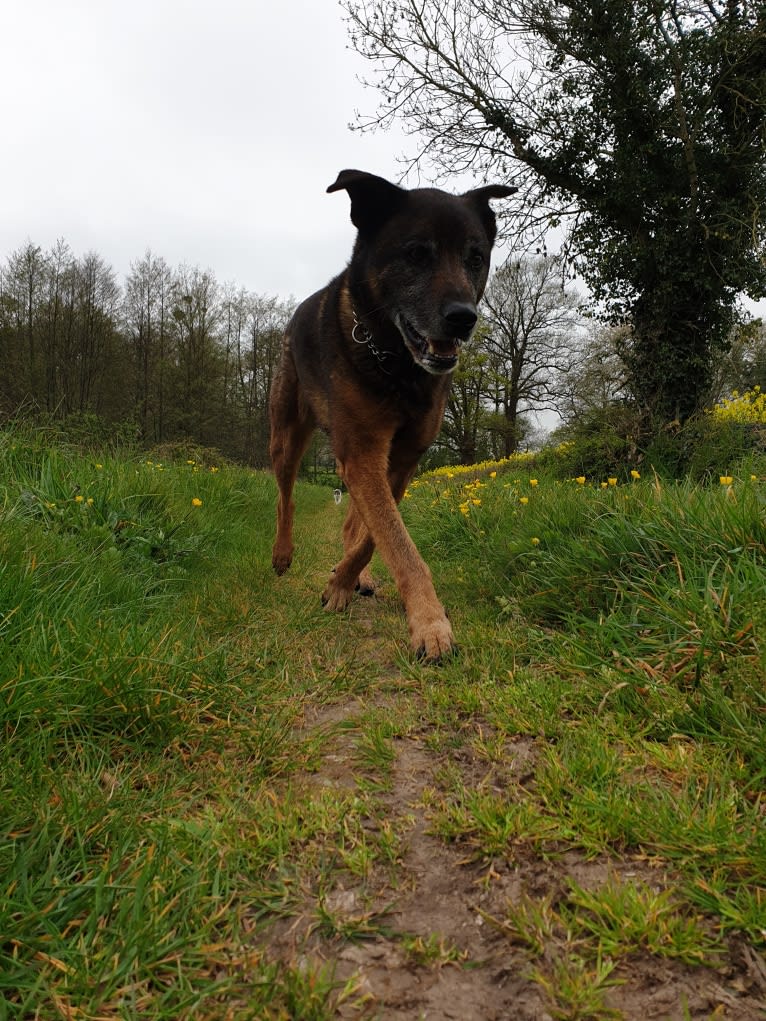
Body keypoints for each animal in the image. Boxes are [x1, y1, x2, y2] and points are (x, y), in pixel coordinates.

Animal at [269, 169, 516, 661]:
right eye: (416, 253)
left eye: (475, 258)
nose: (464, 318)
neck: (396, 361)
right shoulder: (362, 452)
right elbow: (396, 541)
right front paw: (430, 622)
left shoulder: (400, 460)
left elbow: (376, 536)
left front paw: (343, 582)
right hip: (286, 431)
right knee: (286, 493)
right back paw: (282, 554)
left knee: (352, 522)